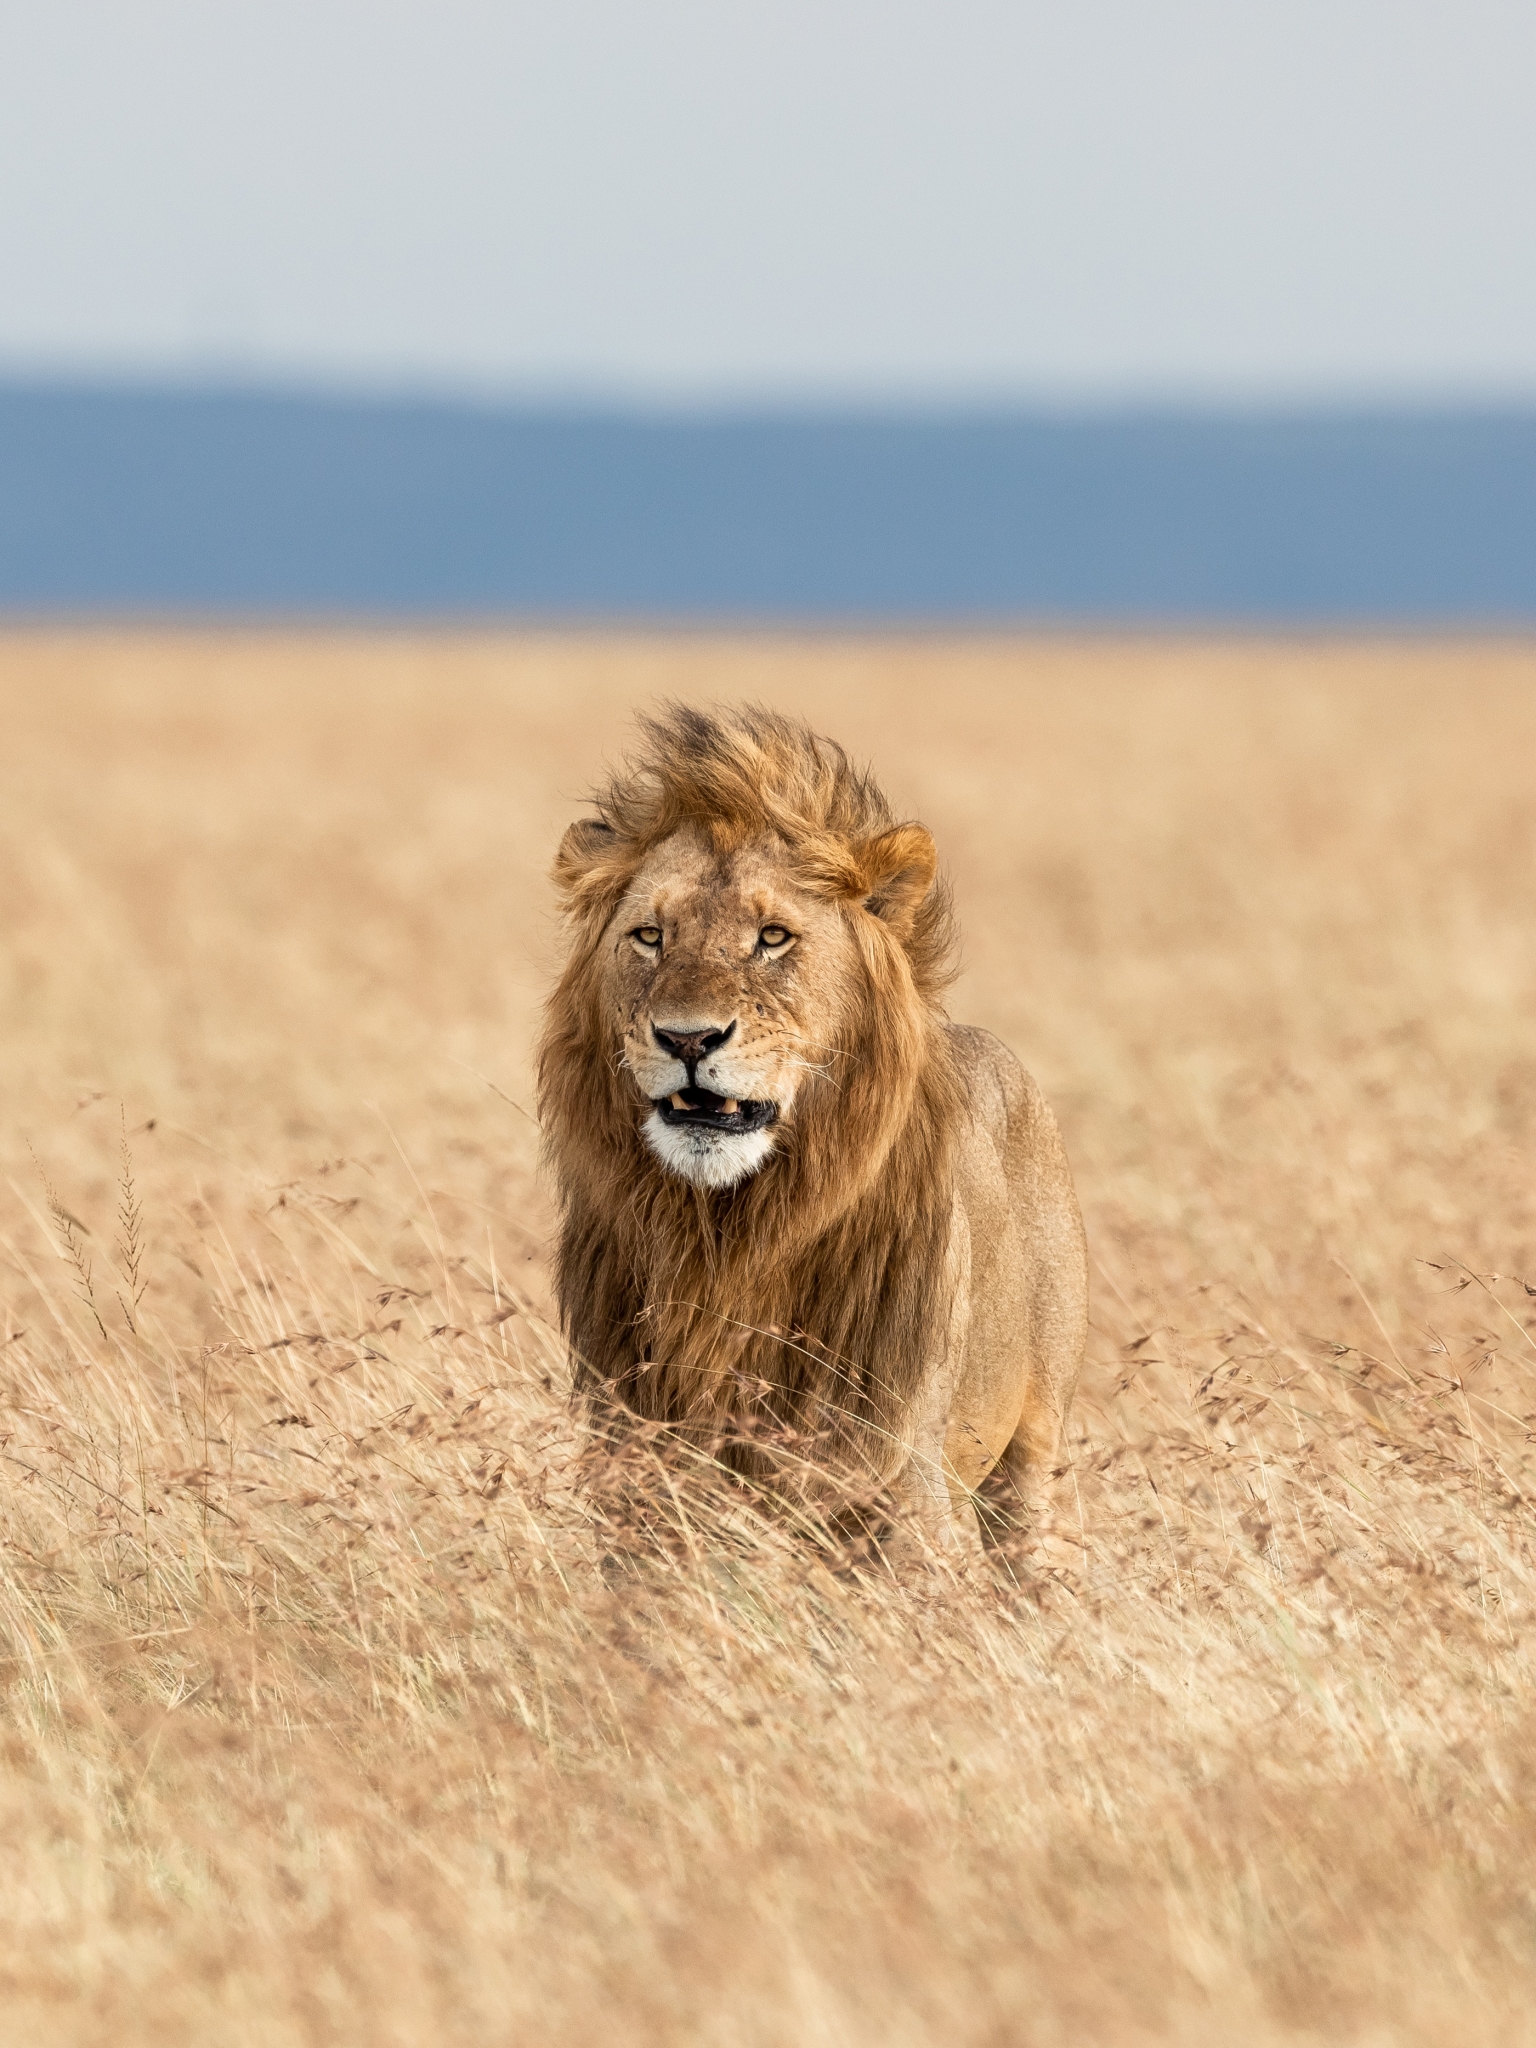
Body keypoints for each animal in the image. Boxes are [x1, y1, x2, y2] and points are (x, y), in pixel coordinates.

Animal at [536, 704, 1089, 1548]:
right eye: (650, 937)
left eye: (772, 938)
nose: (688, 1039)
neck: (727, 1235)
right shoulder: (637, 1468)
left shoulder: (900, 1475)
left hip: (1033, 1452)